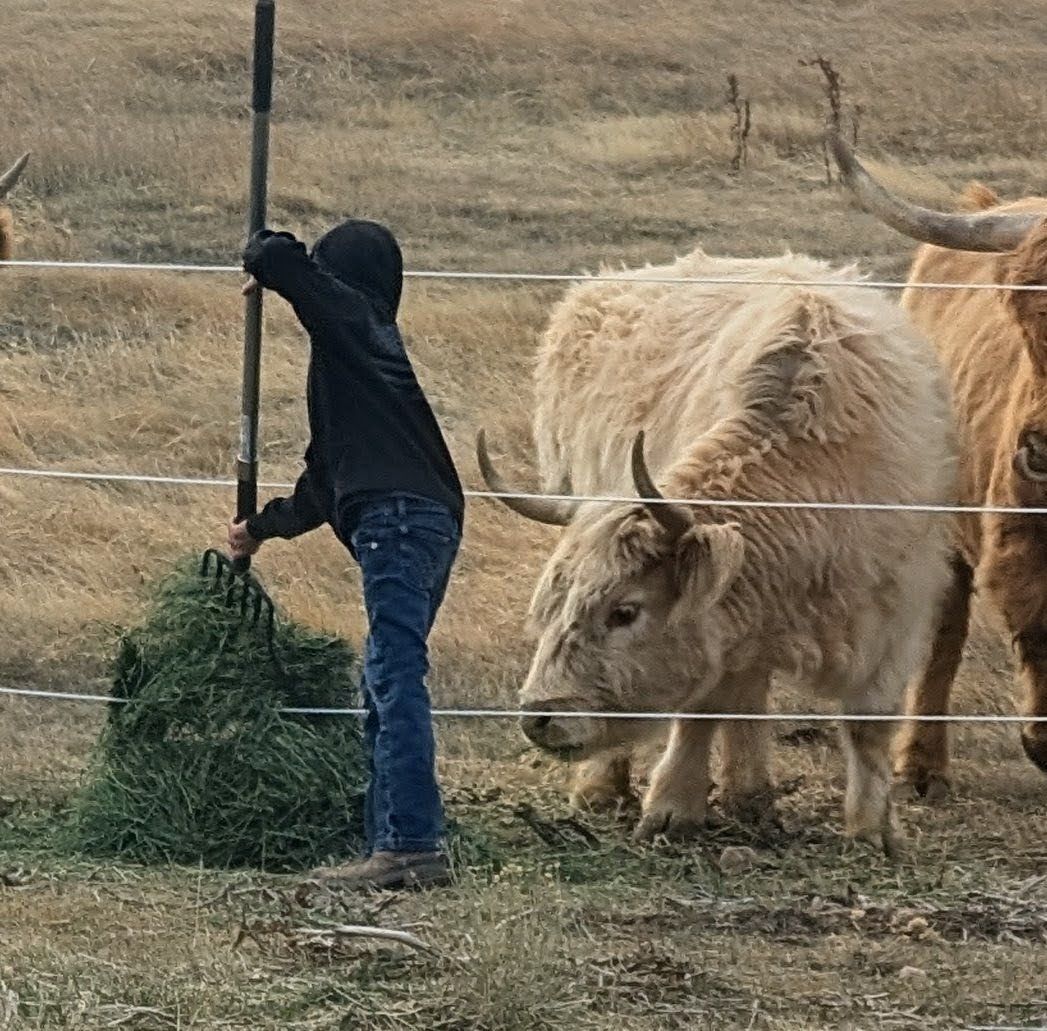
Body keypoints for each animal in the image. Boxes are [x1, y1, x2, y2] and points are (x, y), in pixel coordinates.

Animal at [477, 248, 956, 851]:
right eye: (553, 607)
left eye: (624, 611)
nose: (538, 717)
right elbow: (703, 709)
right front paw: (672, 808)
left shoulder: (898, 610)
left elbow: (870, 723)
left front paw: (873, 830)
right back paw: (609, 788)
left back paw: (749, 797)